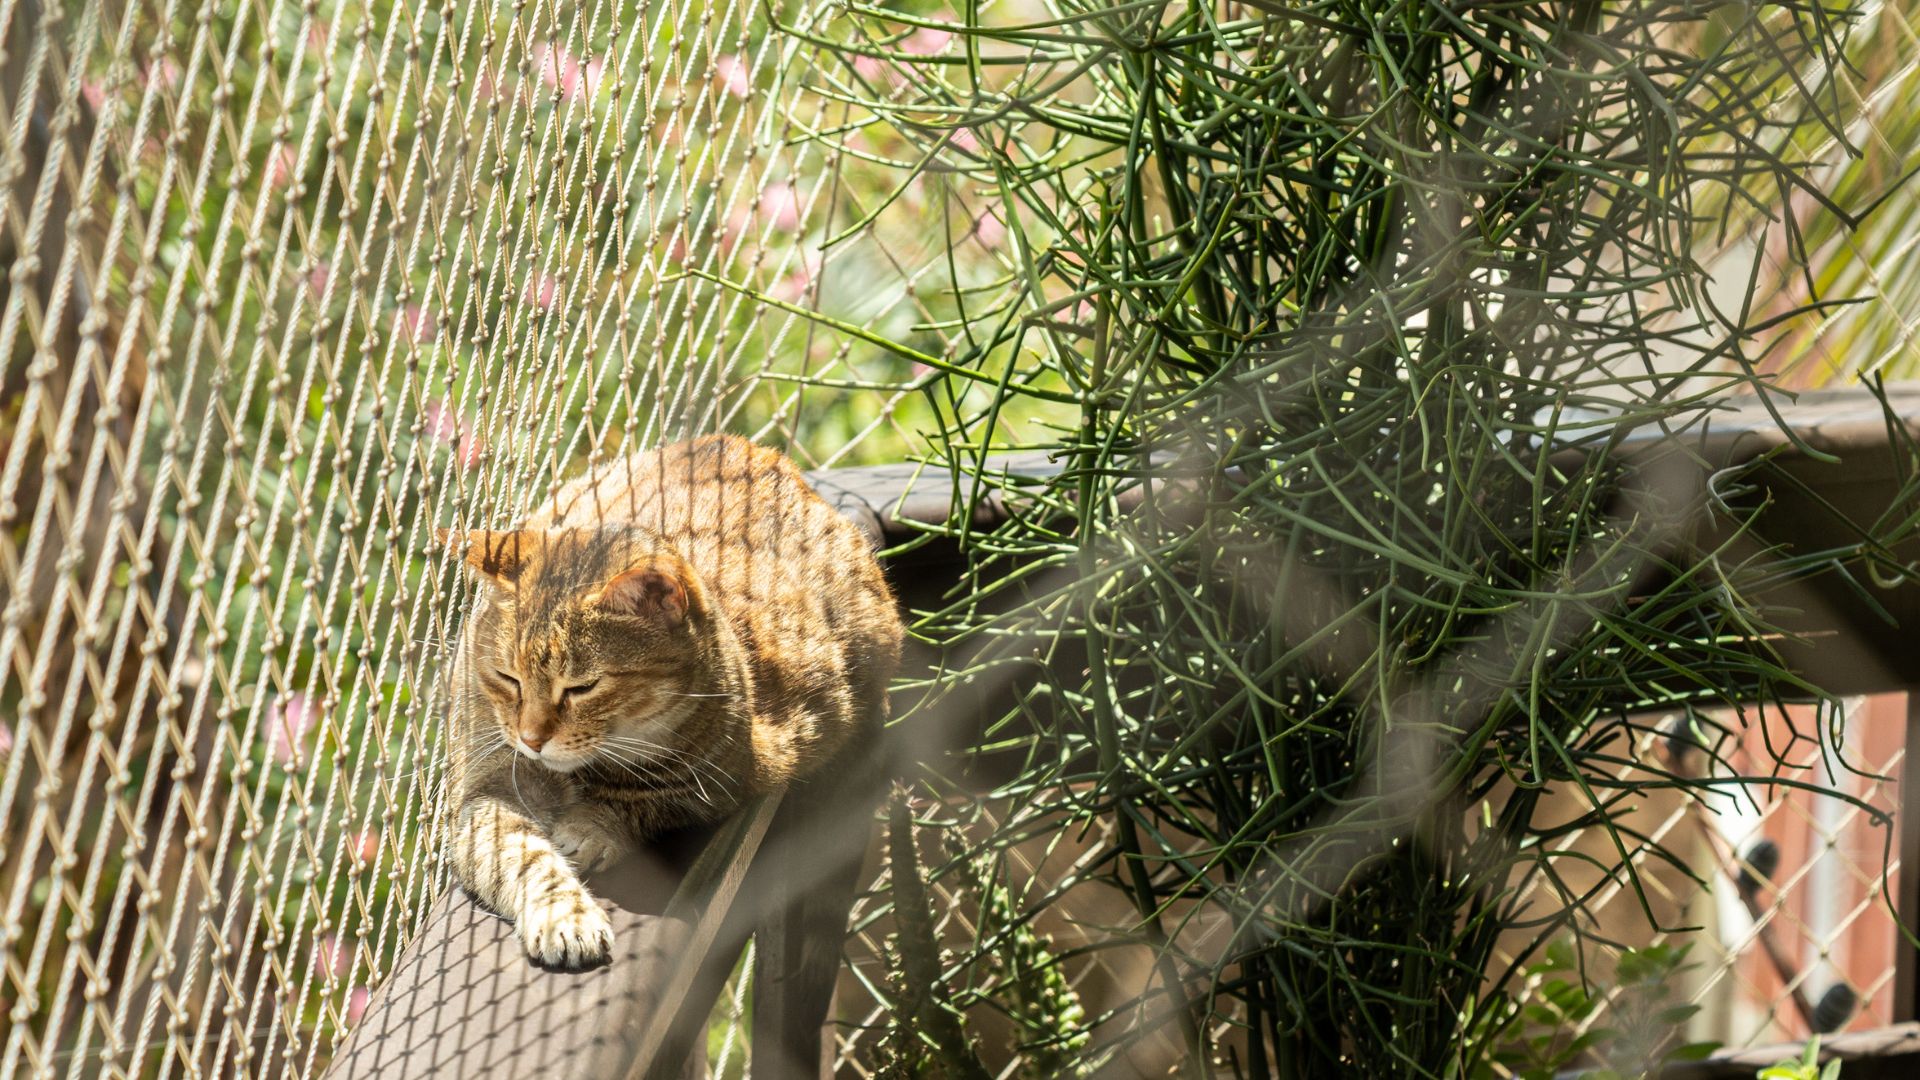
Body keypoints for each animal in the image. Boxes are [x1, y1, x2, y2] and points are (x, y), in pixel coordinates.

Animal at [439, 432, 902, 960]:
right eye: (508, 678)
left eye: (582, 687)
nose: (532, 739)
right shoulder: (486, 788)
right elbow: (520, 854)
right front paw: (564, 915)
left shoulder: (729, 777)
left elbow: (641, 802)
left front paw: (590, 828)